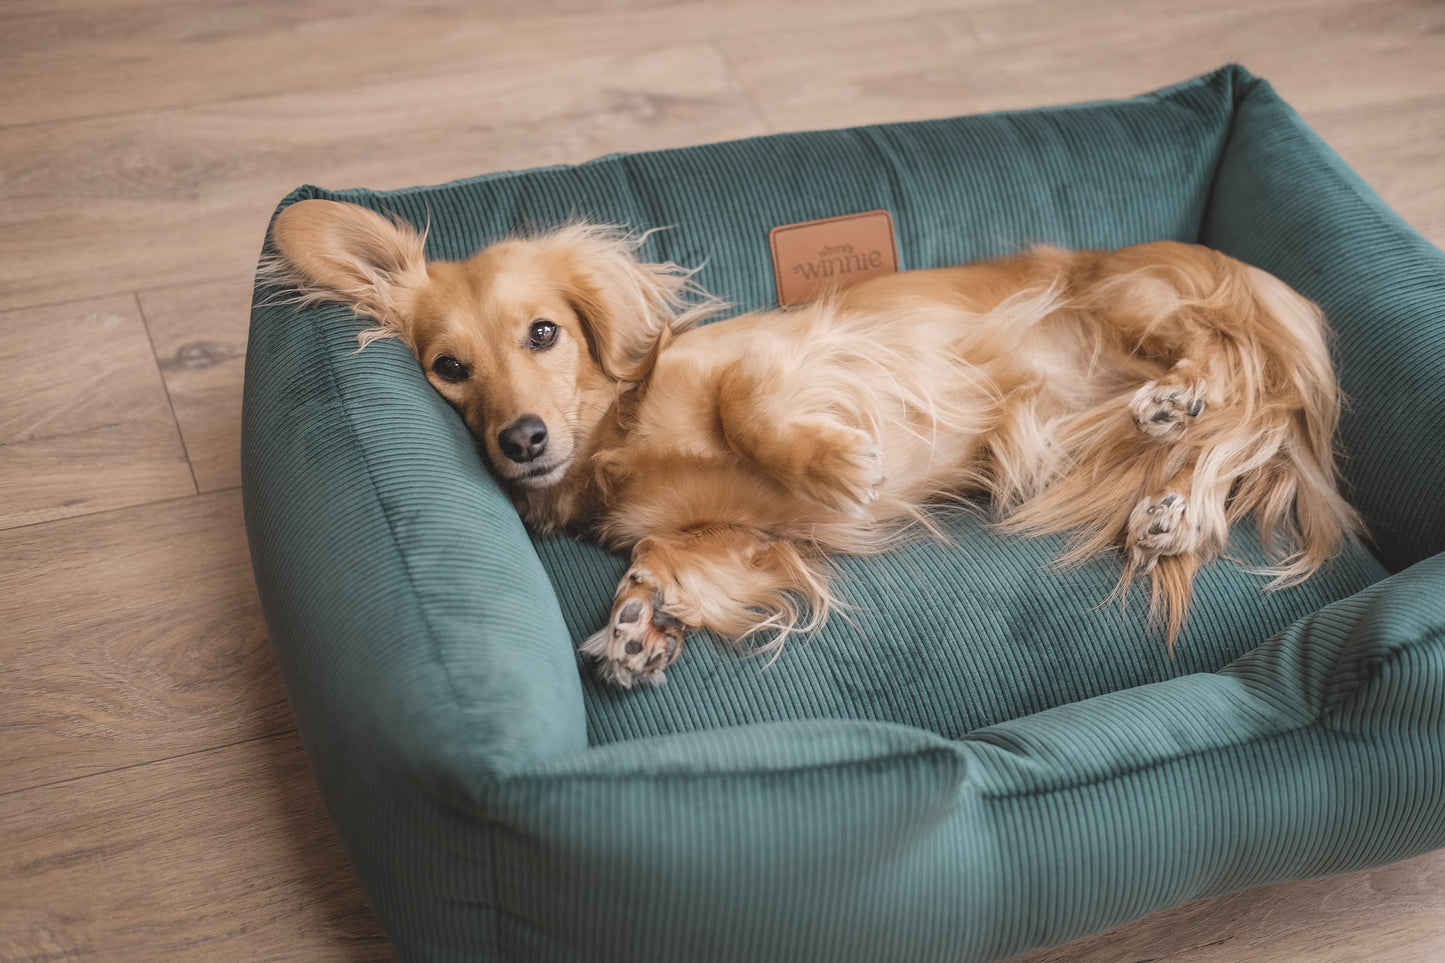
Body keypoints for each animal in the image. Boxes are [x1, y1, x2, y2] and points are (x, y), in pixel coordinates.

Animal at [265, 198, 1358, 685]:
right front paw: (638, 622)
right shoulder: (733, 538)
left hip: (1132, 303)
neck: (620, 435)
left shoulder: (796, 351)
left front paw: (836, 462)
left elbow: (752, 404)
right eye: (449, 368)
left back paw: (1178, 406)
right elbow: (666, 553)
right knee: (1234, 433)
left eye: (543, 333)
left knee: (1233, 387)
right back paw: (1175, 510)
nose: (523, 439)